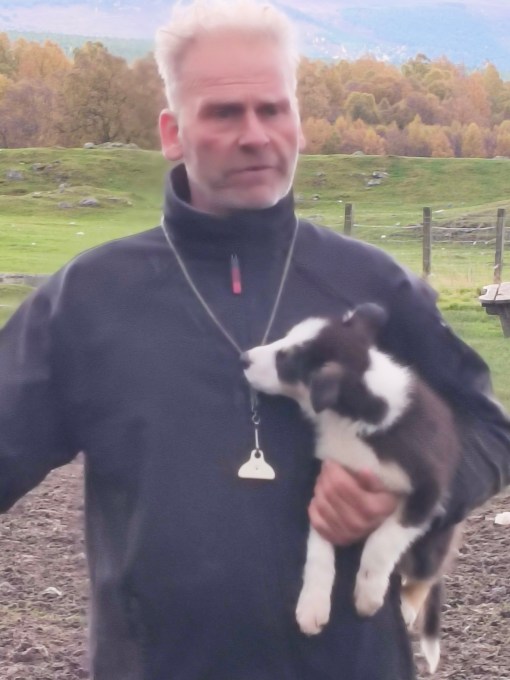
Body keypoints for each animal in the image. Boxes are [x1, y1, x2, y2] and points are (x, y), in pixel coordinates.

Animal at [242, 302, 462, 673]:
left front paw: (368, 593)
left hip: (431, 544)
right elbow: (318, 548)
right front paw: (312, 605)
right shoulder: (324, 484)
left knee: (425, 576)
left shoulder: (427, 492)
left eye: (286, 359)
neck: (353, 417)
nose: (244, 358)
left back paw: (406, 607)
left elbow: (381, 540)